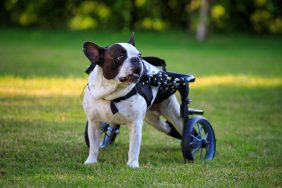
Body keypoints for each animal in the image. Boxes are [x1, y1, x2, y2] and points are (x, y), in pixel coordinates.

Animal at [82, 32, 183, 167]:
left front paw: (132, 165)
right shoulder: (94, 122)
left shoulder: (135, 124)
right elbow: (93, 145)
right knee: (166, 127)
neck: (111, 95)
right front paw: (91, 161)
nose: (136, 59)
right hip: (152, 118)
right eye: (120, 57)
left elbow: (134, 147)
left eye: (139, 55)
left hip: (173, 112)